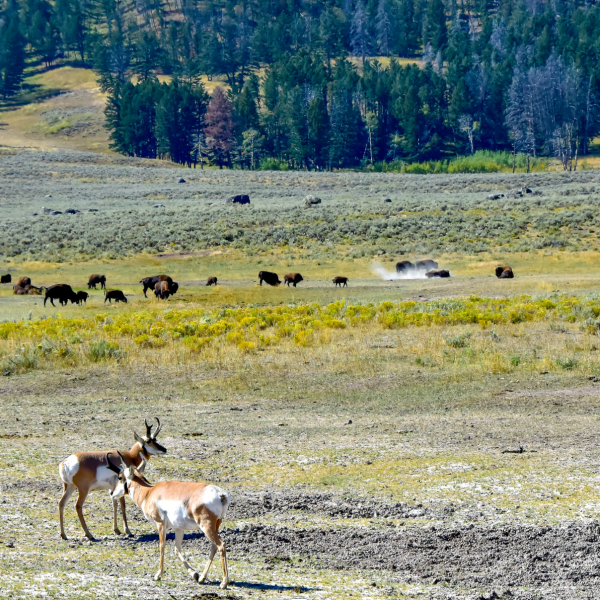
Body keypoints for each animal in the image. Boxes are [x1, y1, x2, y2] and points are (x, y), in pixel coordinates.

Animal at [107, 451, 231, 589]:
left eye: (120, 477)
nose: (112, 493)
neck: (149, 492)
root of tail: (221, 494)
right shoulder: (178, 528)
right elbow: (177, 550)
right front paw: (194, 574)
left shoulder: (160, 524)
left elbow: (162, 546)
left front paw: (157, 575)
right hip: (216, 524)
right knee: (214, 546)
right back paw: (202, 578)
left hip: (206, 526)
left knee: (221, 545)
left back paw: (224, 583)